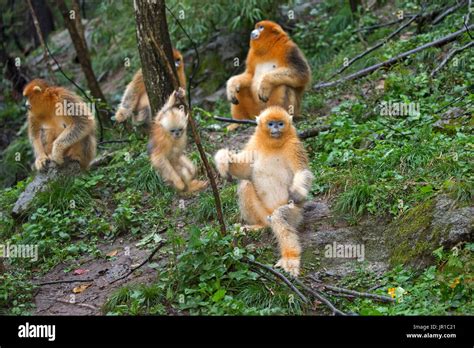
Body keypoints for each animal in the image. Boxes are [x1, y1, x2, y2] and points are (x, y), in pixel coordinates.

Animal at [214, 106, 312, 274]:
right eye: (271, 123)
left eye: (280, 123)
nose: (276, 128)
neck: (273, 145)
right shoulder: (254, 144)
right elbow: (245, 171)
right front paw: (223, 159)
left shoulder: (294, 146)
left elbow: (302, 173)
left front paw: (298, 192)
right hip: (262, 212)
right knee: (246, 185)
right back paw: (258, 226)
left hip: (295, 215)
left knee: (279, 217)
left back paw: (290, 258)